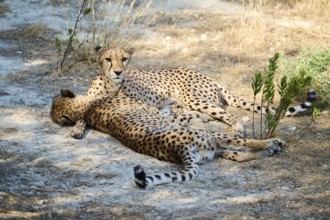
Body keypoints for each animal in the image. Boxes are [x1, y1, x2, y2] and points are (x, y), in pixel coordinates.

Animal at [50, 88, 284, 188]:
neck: (86, 108)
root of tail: (178, 150)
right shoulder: (163, 114)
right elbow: (185, 114)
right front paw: (202, 115)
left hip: (211, 150)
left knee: (239, 156)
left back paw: (267, 152)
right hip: (210, 137)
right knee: (241, 144)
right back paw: (274, 143)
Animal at [87, 45, 318, 137]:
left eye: (124, 59)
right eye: (108, 59)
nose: (118, 71)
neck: (110, 85)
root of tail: (207, 76)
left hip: (194, 98)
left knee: (227, 113)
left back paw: (237, 129)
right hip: (184, 102)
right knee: (193, 113)